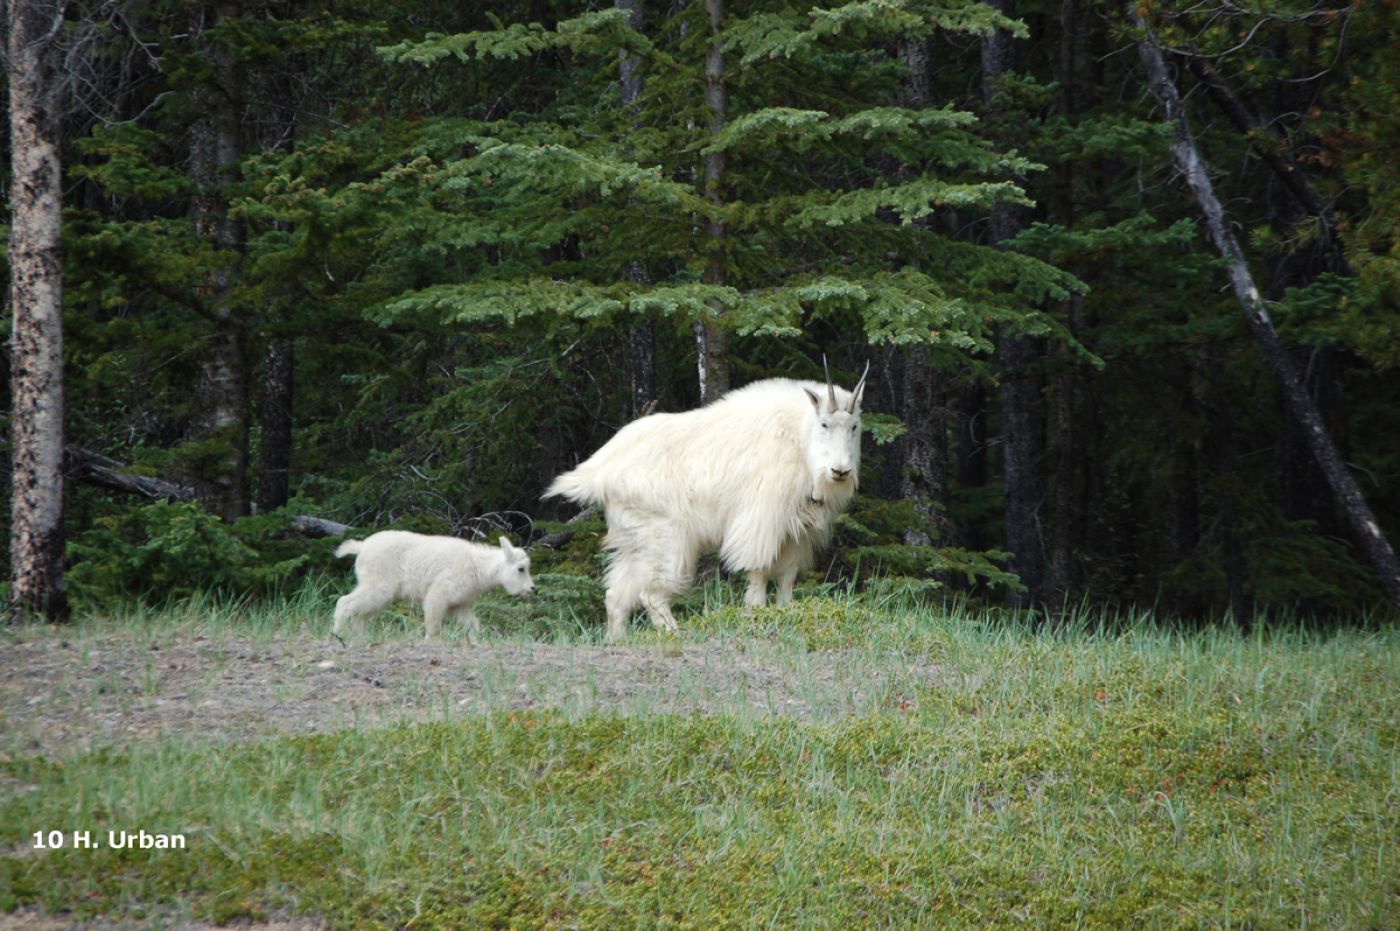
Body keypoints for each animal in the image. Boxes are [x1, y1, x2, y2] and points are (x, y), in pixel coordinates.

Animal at [543, 364, 862, 638]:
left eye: (855, 426)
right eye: (824, 424)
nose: (840, 471)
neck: (798, 438)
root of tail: (601, 469)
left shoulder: (798, 532)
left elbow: (787, 578)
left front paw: (787, 612)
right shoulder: (761, 522)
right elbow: (759, 573)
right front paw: (756, 613)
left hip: (633, 537)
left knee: (616, 595)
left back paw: (619, 640)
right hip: (666, 537)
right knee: (651, 593)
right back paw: (675, 634)